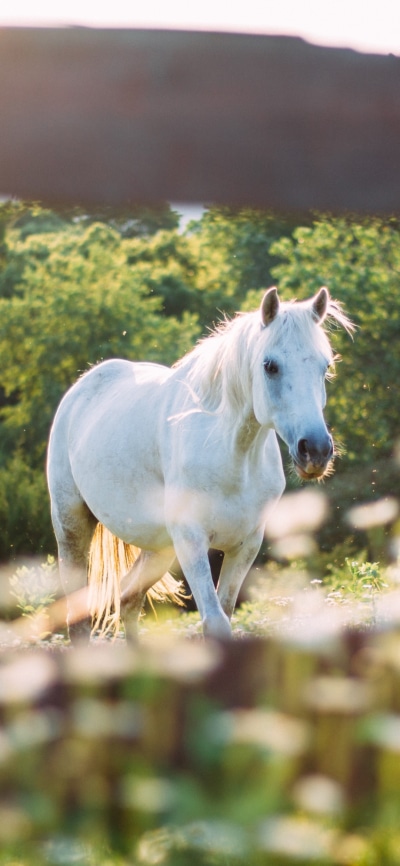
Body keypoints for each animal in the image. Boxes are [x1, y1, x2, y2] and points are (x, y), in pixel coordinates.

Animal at [47, 286, 353, 642]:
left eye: (324, 366)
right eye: (270, 365)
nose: (315, 450)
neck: (231, 458)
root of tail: (82, 387)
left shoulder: (245, 545)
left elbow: (225, 612)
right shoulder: (191, 540)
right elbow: (215, 621)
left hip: (160, 548)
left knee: (129, 598)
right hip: (72, 525)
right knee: (78, 616)